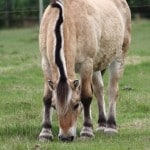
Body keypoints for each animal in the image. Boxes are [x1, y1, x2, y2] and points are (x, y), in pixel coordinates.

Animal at [38, 0, 131, 142]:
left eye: (76, 105)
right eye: (54, 106)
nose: (66, 137)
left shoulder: (86, 63)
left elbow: (86, 96)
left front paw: (87, 131)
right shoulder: (46, 64)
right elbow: (46, 98)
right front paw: (45, 133)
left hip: (119, 57)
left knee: (112, 90)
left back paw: (110, 126)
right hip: (96, 65)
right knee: (99, 90)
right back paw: (101, 124)